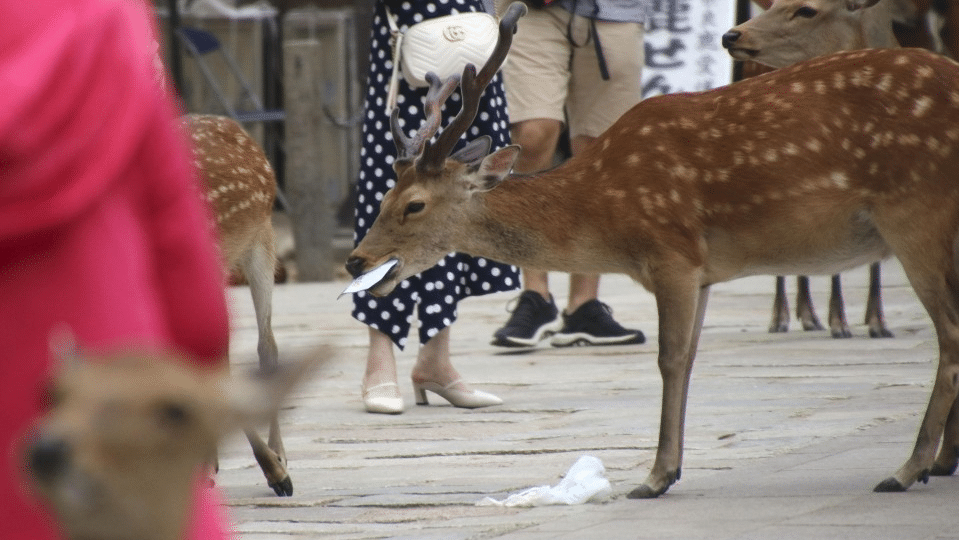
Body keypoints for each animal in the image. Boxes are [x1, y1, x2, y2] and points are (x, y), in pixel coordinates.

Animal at [344, 1, 960, 498]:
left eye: (414, 205)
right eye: (382, 196)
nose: (356, 260)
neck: (606, 217)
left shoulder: (672, 250)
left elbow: (670, 358)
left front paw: (656, 476)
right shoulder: (703, 270)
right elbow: (688, 358)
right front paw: (669, 469)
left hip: (915, 208)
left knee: (949, 332)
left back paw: (908, 468)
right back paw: (940, 462)